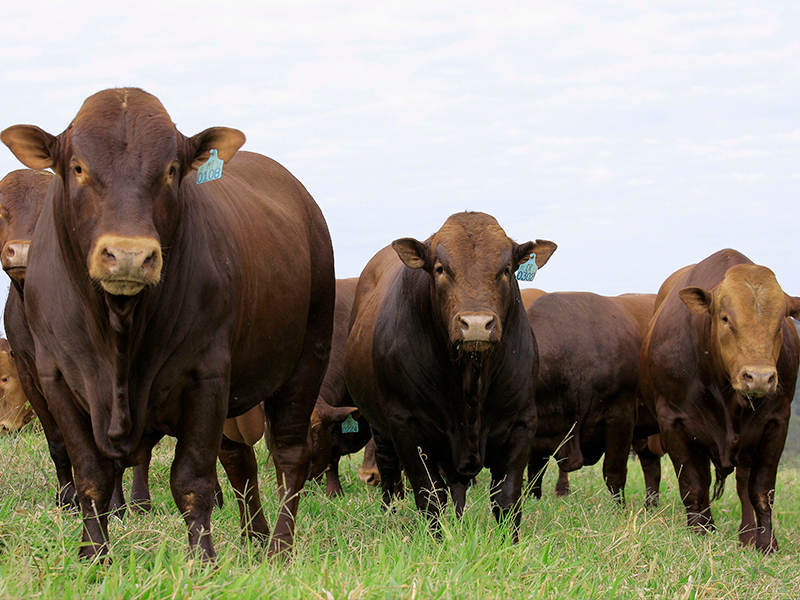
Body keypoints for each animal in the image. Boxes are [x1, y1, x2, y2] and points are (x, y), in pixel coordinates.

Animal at [0, 88, 334, 564]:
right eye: (78, 167)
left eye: (171, 170)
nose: (128, 255)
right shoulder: (55, 378)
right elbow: (90, 476)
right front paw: (93, 556)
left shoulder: (207, 377)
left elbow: (192, 481)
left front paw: (203, 560)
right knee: (241, 463)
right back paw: (253, 536)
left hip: (308, 356)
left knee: (289, 458)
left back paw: (278, 548)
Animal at [344, 212, 556, 540]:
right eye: (441, 268)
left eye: (507, 269)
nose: (477, 324)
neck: (471, 384)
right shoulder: (407, 426)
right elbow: (429, 496)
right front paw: (437, 541)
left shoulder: (522, 422)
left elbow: (506, 498)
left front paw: (510, 544)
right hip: (379, 427)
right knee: (388, 468)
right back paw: (388, 513)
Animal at [524, 290, 656, 502]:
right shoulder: (541, 432)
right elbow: (535, 472)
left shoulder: (621, 415)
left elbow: (614, 472)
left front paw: (619, 508)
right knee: (650, 462)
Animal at [636, 248, 800, 552]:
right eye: (725, 318)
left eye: (780, 322)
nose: (759, 377)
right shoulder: (673, 422)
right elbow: (693, 483)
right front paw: (700, 532)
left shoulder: (777, 422)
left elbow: (762, 489)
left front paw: (766, 542)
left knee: (744, 481)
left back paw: (747, 534)